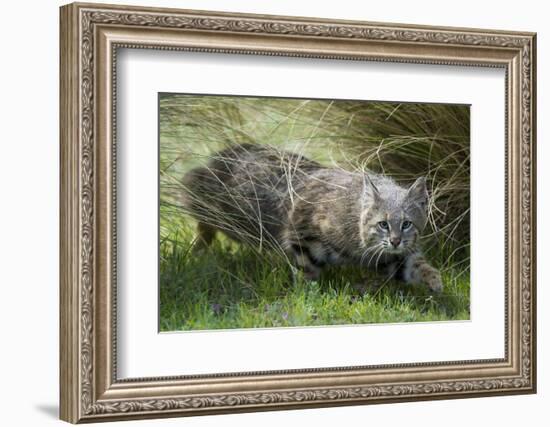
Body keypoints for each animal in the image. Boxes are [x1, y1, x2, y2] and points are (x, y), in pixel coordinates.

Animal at [183, 144, 446, 294]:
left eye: (407, 224)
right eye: (383, 224)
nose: (395, 241)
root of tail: (224, 152)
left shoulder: (394, 256)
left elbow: (417, 265)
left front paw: (435, 281)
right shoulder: (299, 232)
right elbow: (307, 269)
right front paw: (307, 295)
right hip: (214, 201)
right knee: (201, 212)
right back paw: (198, 247)